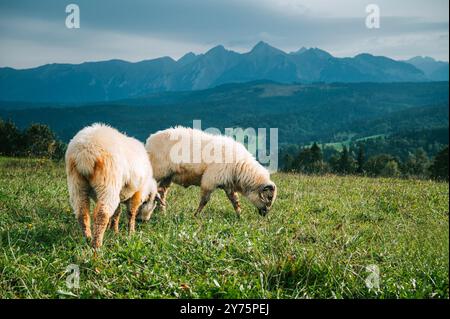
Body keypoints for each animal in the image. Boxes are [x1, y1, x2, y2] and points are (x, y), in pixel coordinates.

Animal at [146, 127, 276, 218]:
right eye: (269, 197)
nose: (265, 214)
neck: (240, 167)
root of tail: (150, 139)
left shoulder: (228, 184)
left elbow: (235, 200)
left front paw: (240, 215)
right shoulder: (210, 180)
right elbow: (204, 200)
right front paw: (196, 215)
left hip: (168, 176)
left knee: (161, 191)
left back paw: (161, 212)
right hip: (157, 171)